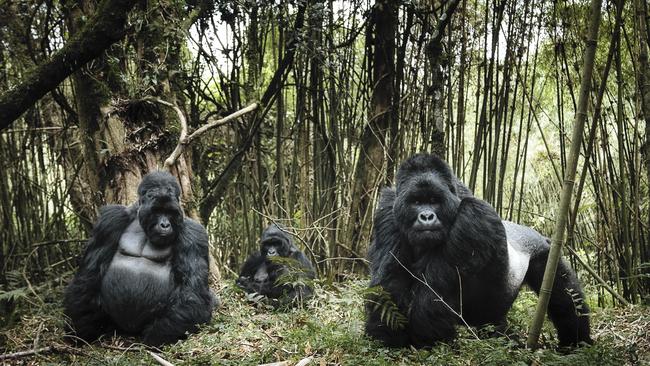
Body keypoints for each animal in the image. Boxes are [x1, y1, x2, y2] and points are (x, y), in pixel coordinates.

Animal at [65, 172, 218, 346]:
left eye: (170, 212)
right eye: (157, 211)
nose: (165, 225)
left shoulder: (194, 234)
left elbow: (193, 294)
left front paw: (155, 335)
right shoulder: (110, 220)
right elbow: (89, 275)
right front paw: (81, 327)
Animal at [364, 154, 592, 348]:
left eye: (434, 201)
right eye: (417, 202)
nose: (427, 216)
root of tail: (539, 236)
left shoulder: (473, 215)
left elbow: (434, 294)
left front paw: (429, 342)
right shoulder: (387, 210)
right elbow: (390, 282)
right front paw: (387, 337)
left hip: (546, 255)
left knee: (566, 301)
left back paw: (576, 343)